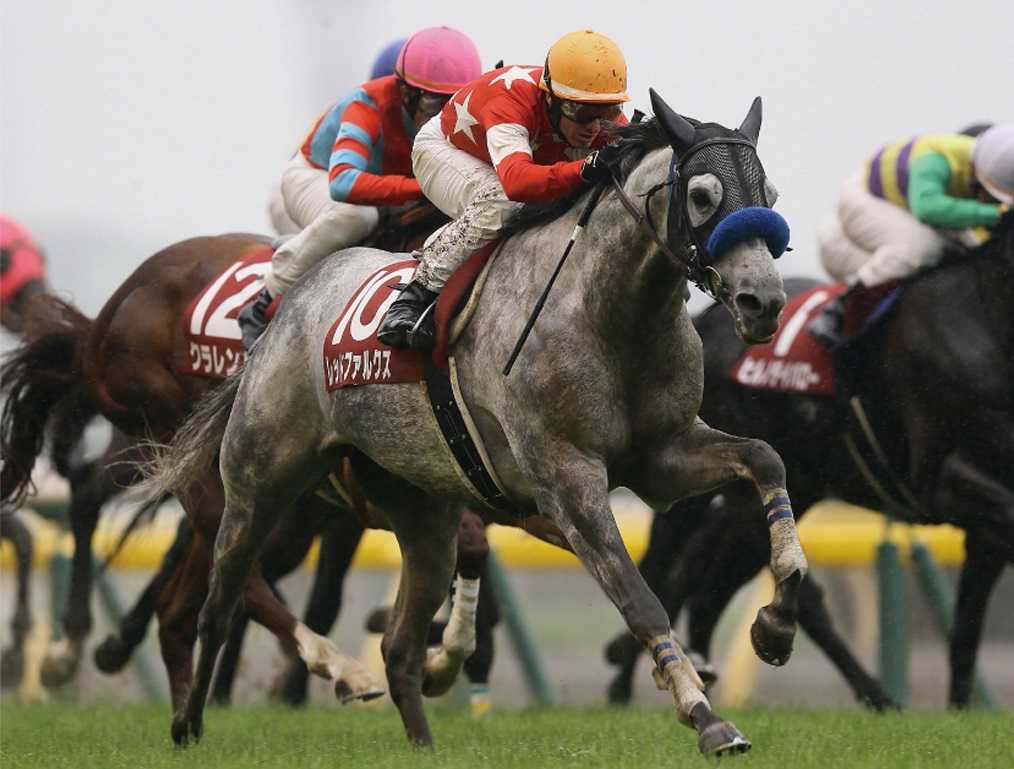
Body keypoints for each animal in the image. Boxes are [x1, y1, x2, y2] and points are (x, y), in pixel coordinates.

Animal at [147, 91, 803, 758]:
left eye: (770, 195)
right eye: (701, 195)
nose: (763, 302)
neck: (610, 313)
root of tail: (289, 306)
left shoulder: (661, 458)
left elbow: (765, 459)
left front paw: (775, 626)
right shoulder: (566, 478)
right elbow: (640, 599)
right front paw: (707, 717)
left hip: (422, 514)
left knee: (399, 645)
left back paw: (421, 742)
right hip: (262, 488)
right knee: (220, 604)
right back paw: (188, 723)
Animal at [604, 212, 1009, 710]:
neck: (986, 316)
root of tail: (711, 319)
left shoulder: (982, 522)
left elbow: (968, 621)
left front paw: (960, 709)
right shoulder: (945, 479)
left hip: (782, 487)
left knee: (714, 571)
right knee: (677, 560)